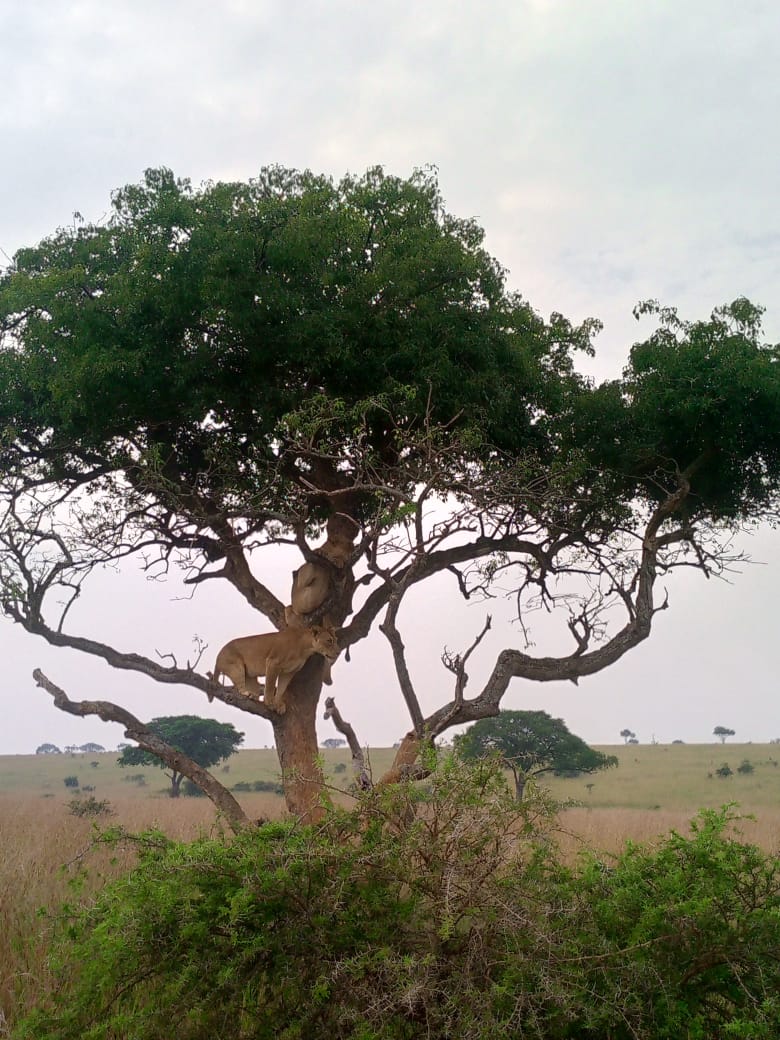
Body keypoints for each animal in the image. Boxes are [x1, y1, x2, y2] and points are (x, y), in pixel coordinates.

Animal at [210, 625, 340, 714]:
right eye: (329, 640)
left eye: (336, 640)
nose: (338, 652)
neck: (305, 648)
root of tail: (217, 657)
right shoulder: (273, 663)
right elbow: (270, 685)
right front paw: (269, 703)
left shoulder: (289, 672)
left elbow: (281, 688)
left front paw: (278, 704)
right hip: (236, 667)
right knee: (239, 687)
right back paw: (247, 693)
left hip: (250, 675)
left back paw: (253, 696)